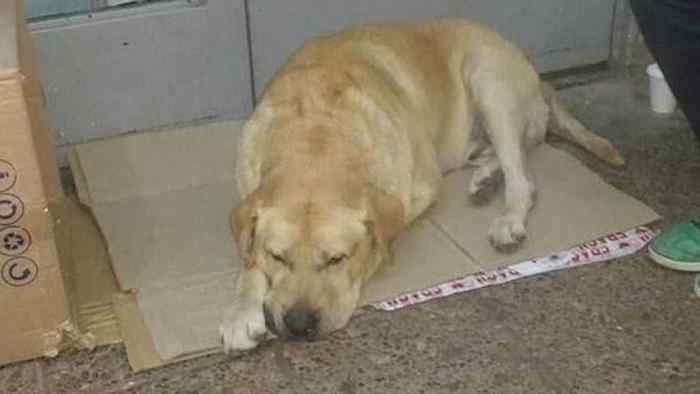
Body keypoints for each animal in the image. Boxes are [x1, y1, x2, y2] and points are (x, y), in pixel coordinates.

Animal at [220, 18, 624, 350]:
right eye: (278, 256)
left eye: (337, 258)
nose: (299, 323)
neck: (315, 132)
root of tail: (531, 66)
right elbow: (249, 259)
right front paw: (242, 308)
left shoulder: (417, 191)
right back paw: (485, 179)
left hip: (489, 81)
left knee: (523, 177)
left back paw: (508, 218)